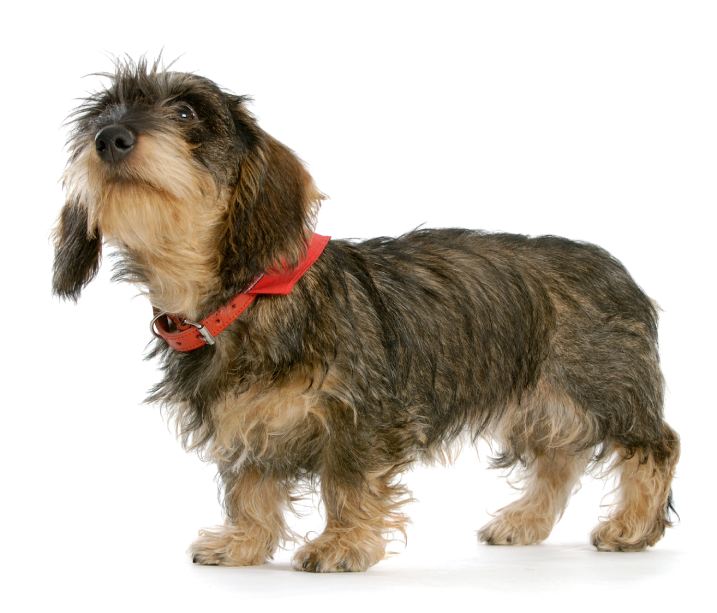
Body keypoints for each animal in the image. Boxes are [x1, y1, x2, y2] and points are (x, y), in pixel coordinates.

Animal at [53, 59, 680, 572]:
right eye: (100, 116)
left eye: (185, 112)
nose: (110, 138)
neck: (247, 293)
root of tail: (618, 271)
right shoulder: (245, 422)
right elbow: (250, 488)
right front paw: (244, 543)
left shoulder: (362, 417)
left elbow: (347, 484)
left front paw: (340, 545)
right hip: (541, 400)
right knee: (558, 461)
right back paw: (524, 521)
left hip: (602, 388)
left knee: (656, 447)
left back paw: (632, 527)